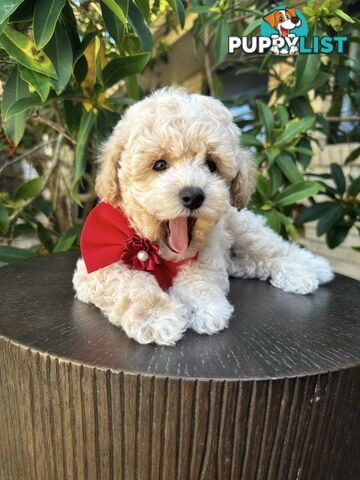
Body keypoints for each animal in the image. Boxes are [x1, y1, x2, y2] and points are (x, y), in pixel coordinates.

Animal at [73, 87, 334, 344]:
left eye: (211, 165)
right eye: (159, 165)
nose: (193, 195)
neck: (160, 253)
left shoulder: (207, 255)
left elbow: (198, 277)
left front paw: (204, 307)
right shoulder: (96, 266)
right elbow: (130, 284)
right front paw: (156, 316)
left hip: (246, 230)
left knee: (278, 250)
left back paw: (311, 269)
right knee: (254, 263)